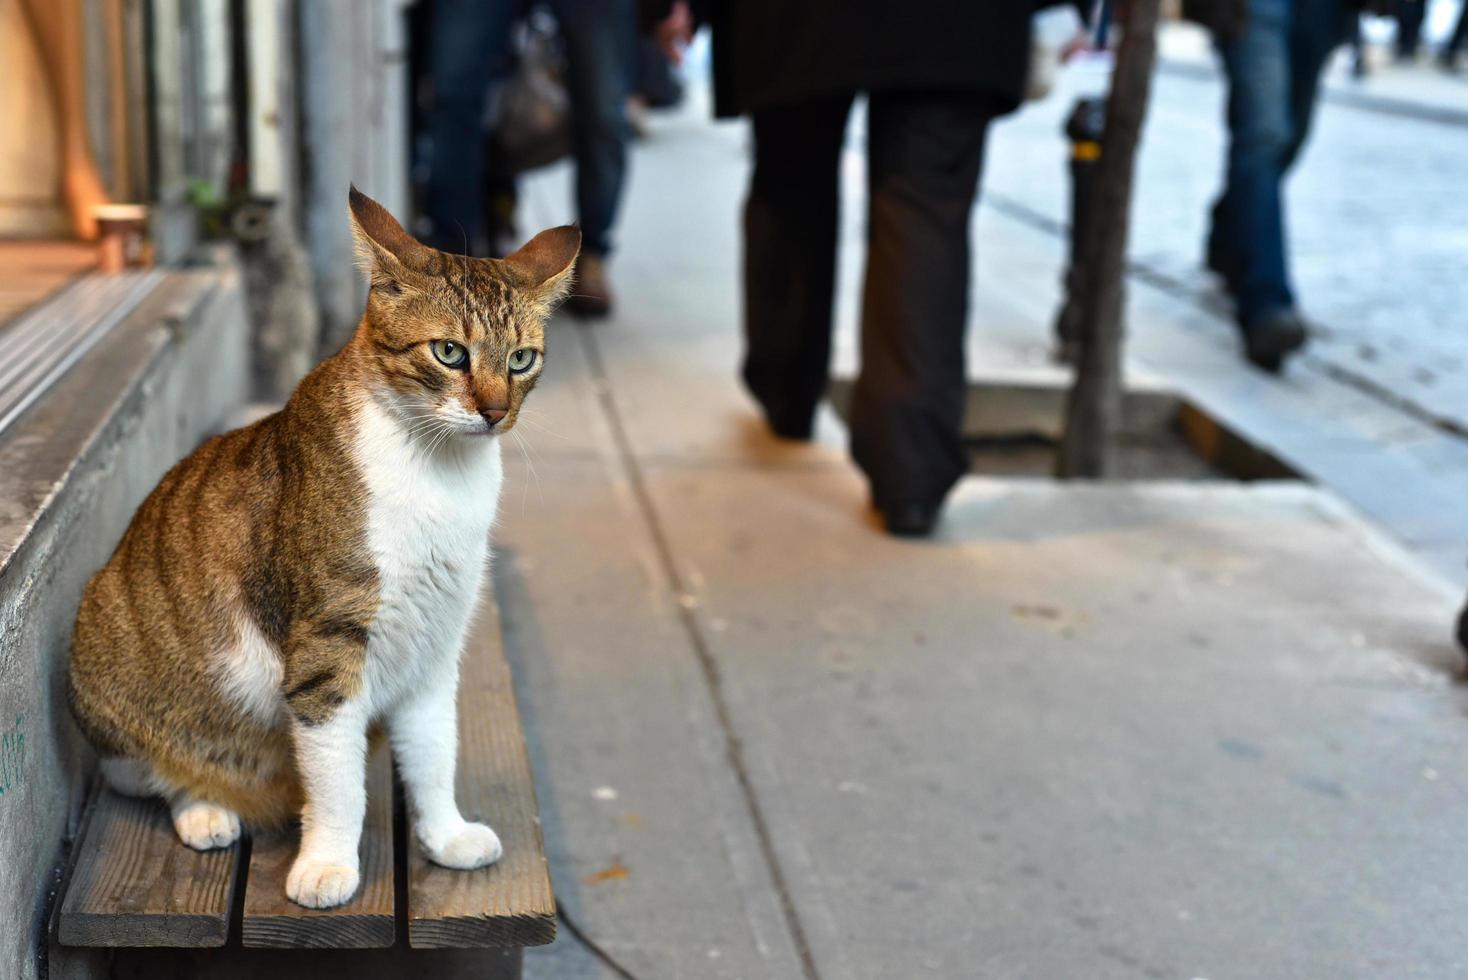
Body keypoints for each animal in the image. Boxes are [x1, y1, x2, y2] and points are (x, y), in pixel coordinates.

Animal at [66, 187, 578, 909]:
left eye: (521, 360)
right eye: (450, 352)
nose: (495, 411)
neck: (440, 474)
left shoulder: (435, 643)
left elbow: (434, 751)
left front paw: (445, 836)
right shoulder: (326, 646)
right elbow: (338, 778)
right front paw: (327, 865)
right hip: (106, 670)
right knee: (164, 775)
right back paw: (208, 810)